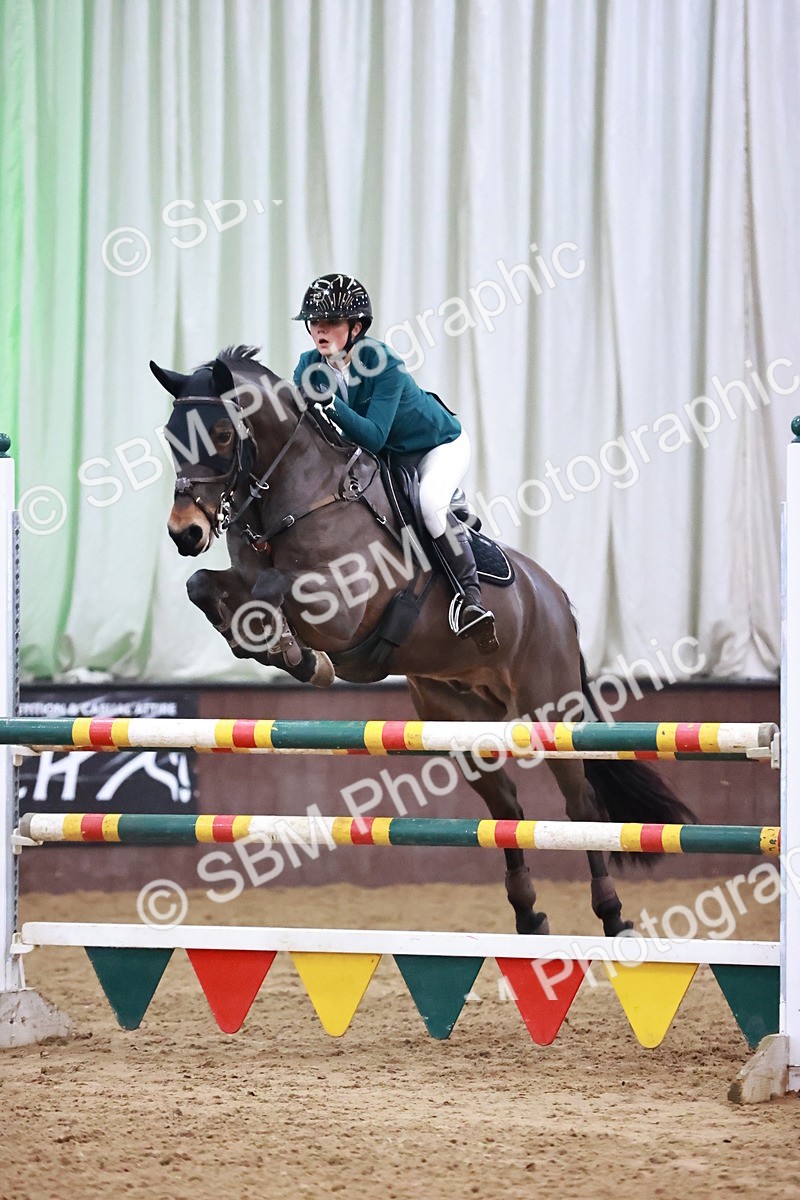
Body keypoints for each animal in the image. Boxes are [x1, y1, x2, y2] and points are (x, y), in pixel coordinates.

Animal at [151, 345, 694, 937]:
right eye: (171, 437)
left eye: (223, 434)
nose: (185, 533)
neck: (300, 496)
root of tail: (556, 599)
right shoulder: (243, 577)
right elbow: (203, 585)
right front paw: (272, 647)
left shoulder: (340, 607)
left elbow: (274, 590)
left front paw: (299, 657)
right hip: (458, 718)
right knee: (507, 809)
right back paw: (529, 915)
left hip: (551, 711)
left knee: (583, 808)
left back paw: (612, 915)